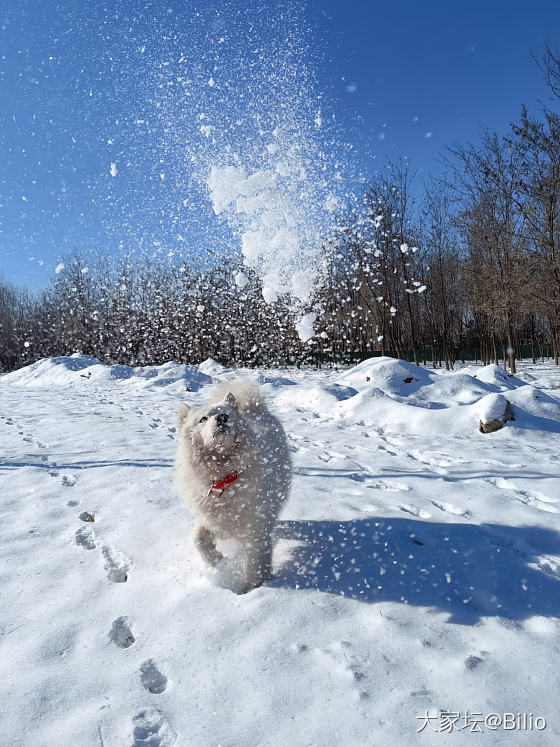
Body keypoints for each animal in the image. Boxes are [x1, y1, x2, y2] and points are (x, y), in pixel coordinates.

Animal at [174, 380, 288, 596]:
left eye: (226, 413)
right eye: (203, 419)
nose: (222, 417)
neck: (224, 477)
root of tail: (254, 407)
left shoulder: (255, 530)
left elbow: (255, 565)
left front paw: (253, 591)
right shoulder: (209, 518)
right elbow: (198, 539)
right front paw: (218, 562)